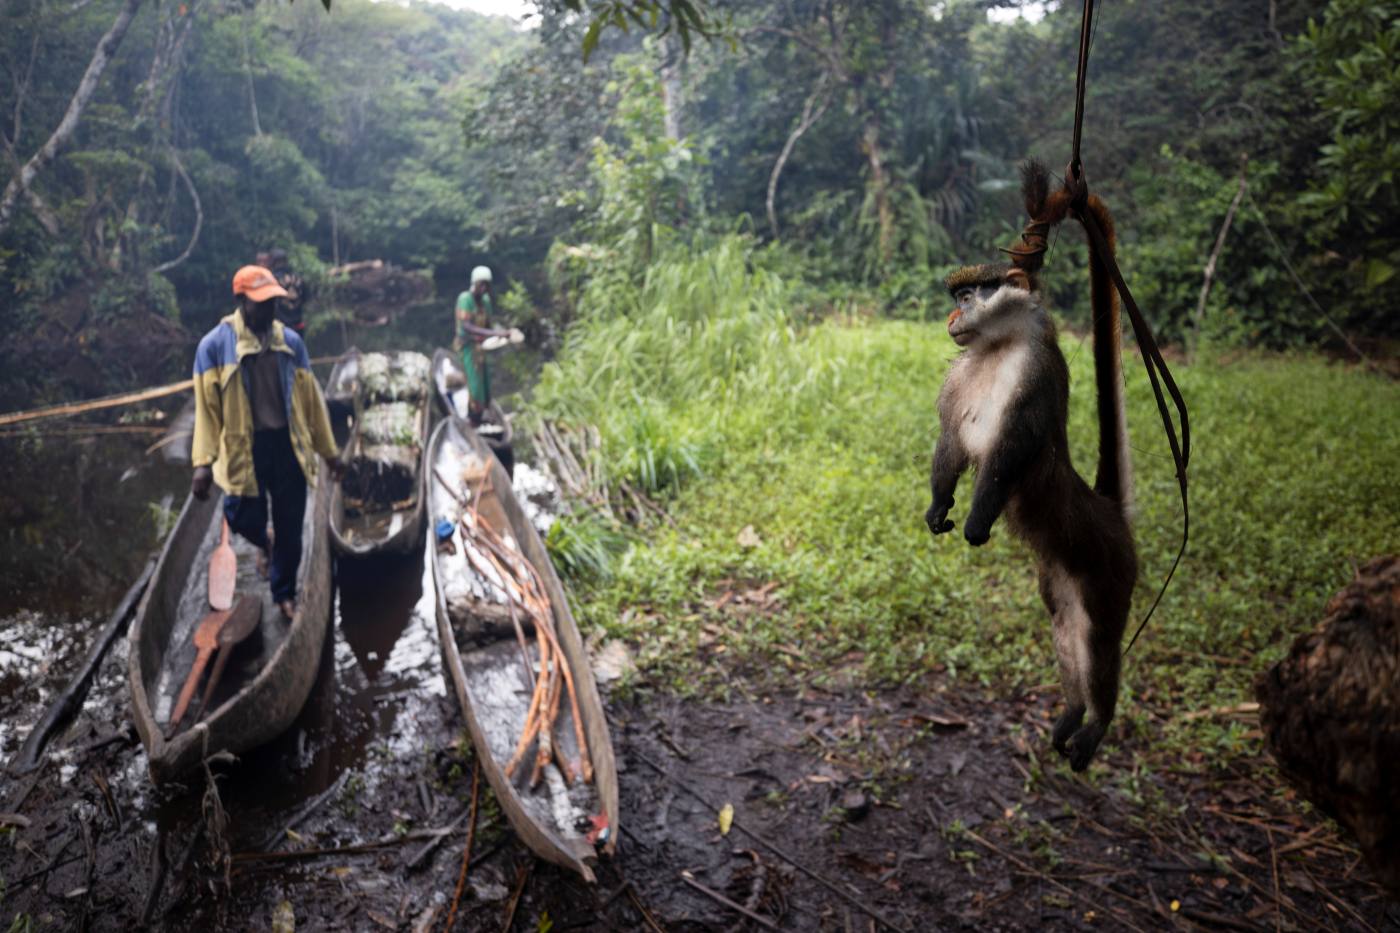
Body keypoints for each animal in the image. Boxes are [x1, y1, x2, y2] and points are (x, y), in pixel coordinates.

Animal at [929, 161, 1136, 767]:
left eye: (971, 293)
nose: (952, 313)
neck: (998, 348)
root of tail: (1109, 514)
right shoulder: (959, 376)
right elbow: (952, 442)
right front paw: (938, 507)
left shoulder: (1036, 371)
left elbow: (1009, 452)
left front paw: (976, 523)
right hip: (1059, 580)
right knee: (1067, 632)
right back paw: (1072, 712)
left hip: (1110, 574)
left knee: (1101, 644)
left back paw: (1097, 723)